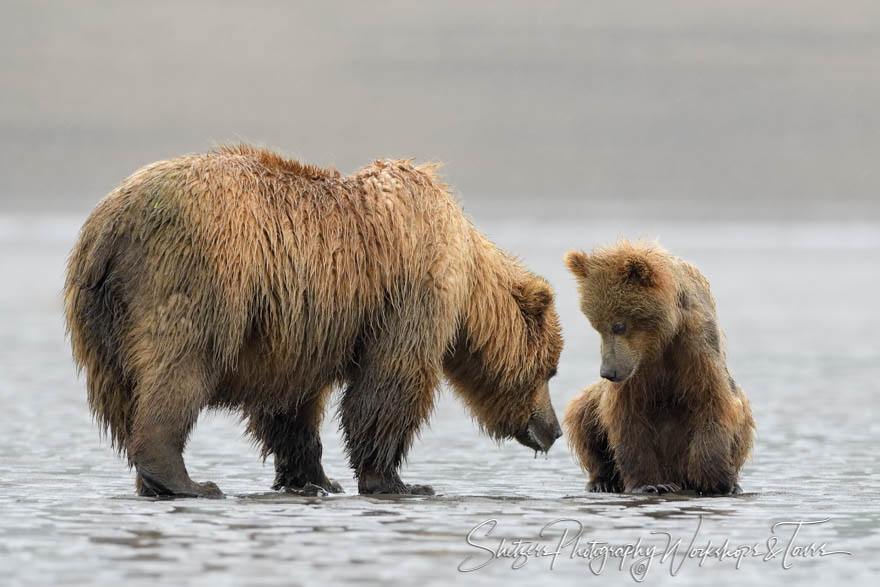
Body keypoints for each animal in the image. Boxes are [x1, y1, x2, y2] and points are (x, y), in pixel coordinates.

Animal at [67, 146, 564, 496]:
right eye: (551, 370)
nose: (554, 429)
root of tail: (107, 227)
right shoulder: (412, 289)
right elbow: (391, 382)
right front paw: (401, 481)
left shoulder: (295, 328)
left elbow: (289, 406)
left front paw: (317, 480)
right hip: (196, 275)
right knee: (181, 368)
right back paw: (191, 482)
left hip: (99, 318)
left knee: (121, 395)